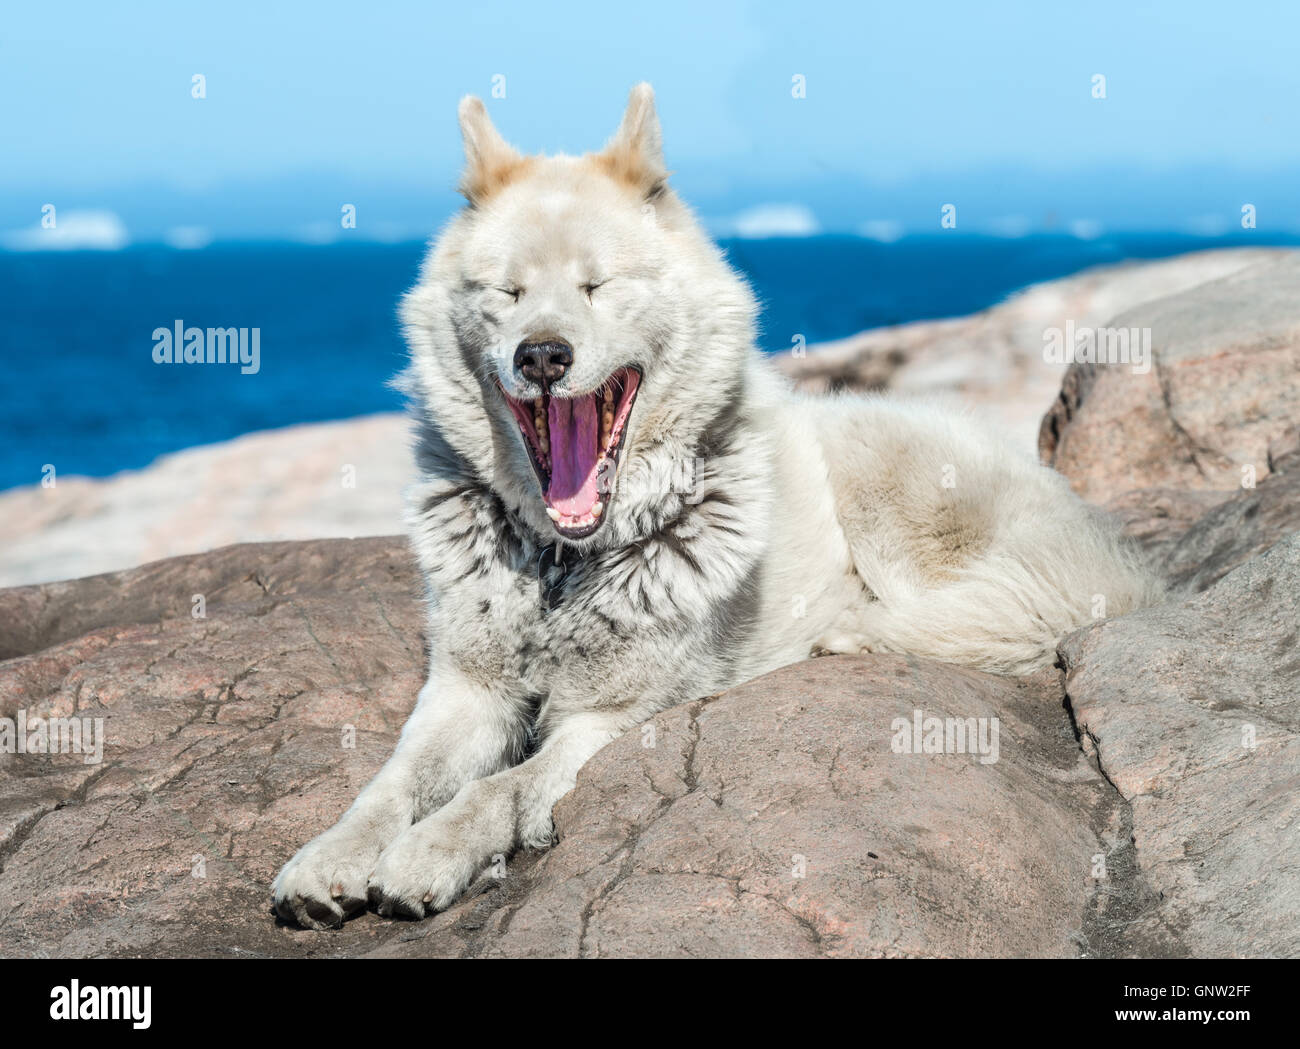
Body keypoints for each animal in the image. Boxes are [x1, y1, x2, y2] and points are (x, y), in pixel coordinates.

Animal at [269, 86, 1164, 930]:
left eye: (596, 286)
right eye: (508, 292)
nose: (542, 355)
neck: (564, 563)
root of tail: (1101, 549)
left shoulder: (610, 719)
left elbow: (502, 787)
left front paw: (434, 850)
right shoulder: (464, 692)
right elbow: (391, 783)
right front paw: (331, 855)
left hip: (891, 486)